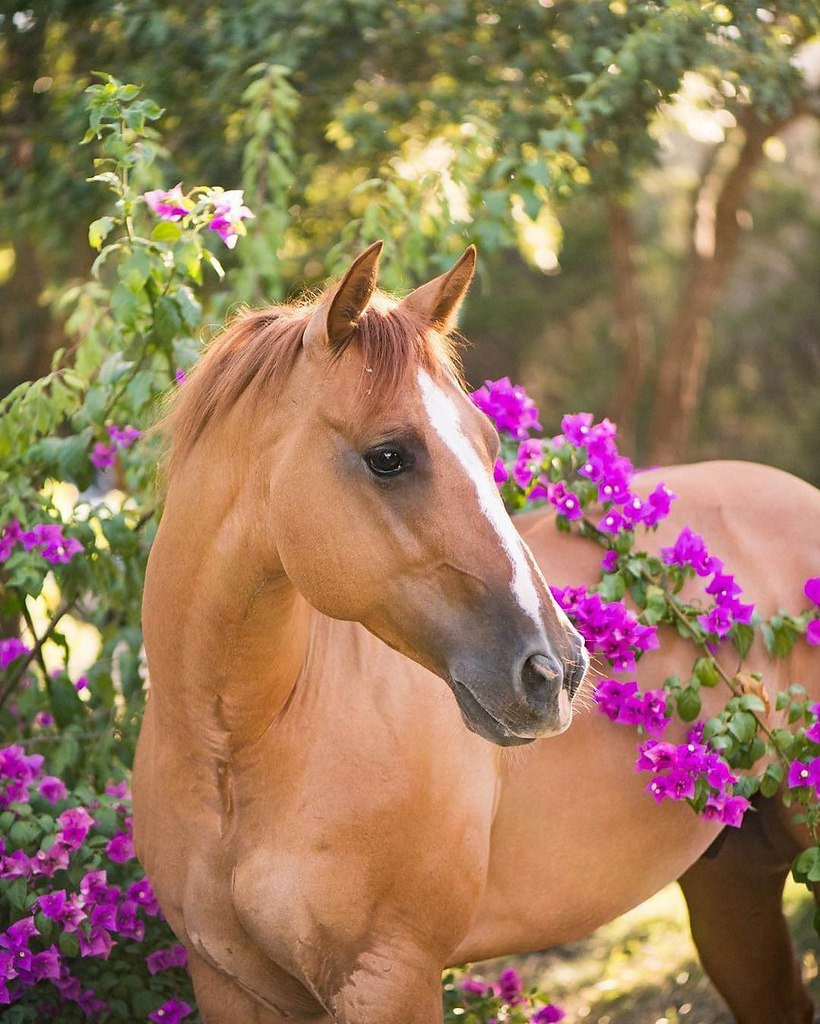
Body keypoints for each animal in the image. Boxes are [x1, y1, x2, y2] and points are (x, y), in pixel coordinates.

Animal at [134, 241, 818, 1024]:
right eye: (389, 456)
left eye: (490, 441)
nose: (558, 670)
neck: (237, 748)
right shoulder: (230, 985)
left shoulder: (390, 978)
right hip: (733, 883)